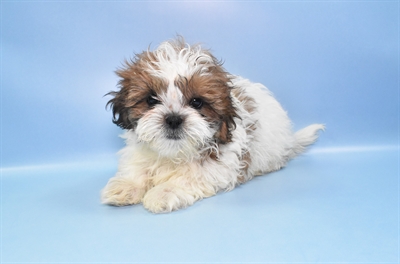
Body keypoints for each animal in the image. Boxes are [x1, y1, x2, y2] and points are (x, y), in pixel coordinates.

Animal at [101, 37, 324, 213]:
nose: (173, 118)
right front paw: (127, 185)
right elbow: (138, 167)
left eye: (196, 102)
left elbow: (191, 176)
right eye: (151, 100)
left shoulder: (220, 165)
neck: (174, 154)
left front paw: (164, 191)